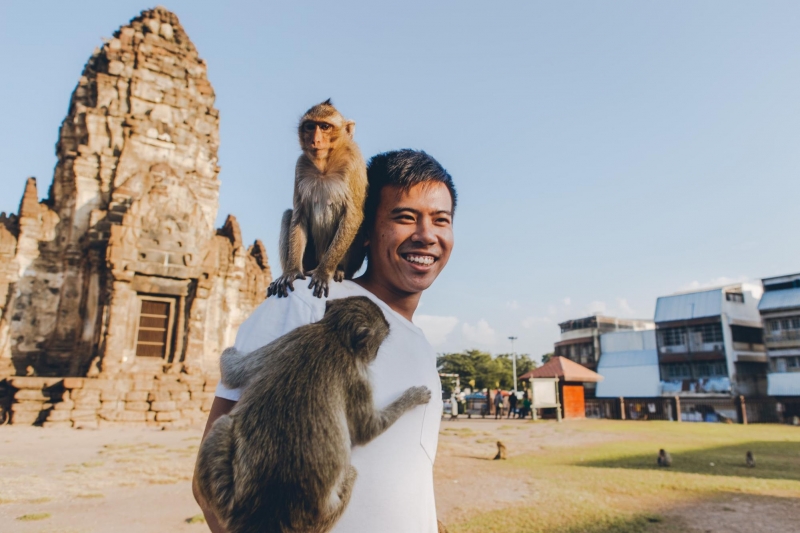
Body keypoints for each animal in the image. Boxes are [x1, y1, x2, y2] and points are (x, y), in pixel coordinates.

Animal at [268, 100, 368, 300]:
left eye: (324, 127)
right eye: (310, 126)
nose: (315, 140)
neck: (325, 165)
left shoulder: (353, 163)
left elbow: (353, 216)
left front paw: (324, 272)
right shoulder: (300, 166)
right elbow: (298, 215)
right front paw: (291, 271)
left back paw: (339, 270)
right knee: (288, 214)